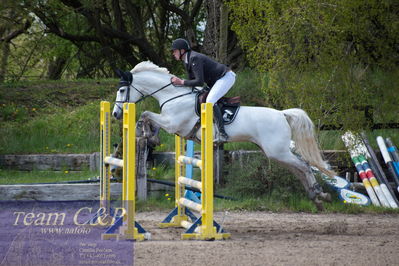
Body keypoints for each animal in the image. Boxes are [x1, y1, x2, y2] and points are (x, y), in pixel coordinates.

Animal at [113, 60, 334, 210]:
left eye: (122, 89)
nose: (115, 114)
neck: (174, 96)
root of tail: (282, 114)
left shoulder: (173, 123)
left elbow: (146, 114)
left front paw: (148, 134)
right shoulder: (172, 124)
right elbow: (148, 116)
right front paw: (149, 134)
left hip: (277, 151)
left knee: (304, 166)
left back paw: (319, 194)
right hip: (275, 153)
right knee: (299, 169)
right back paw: (316, 197)